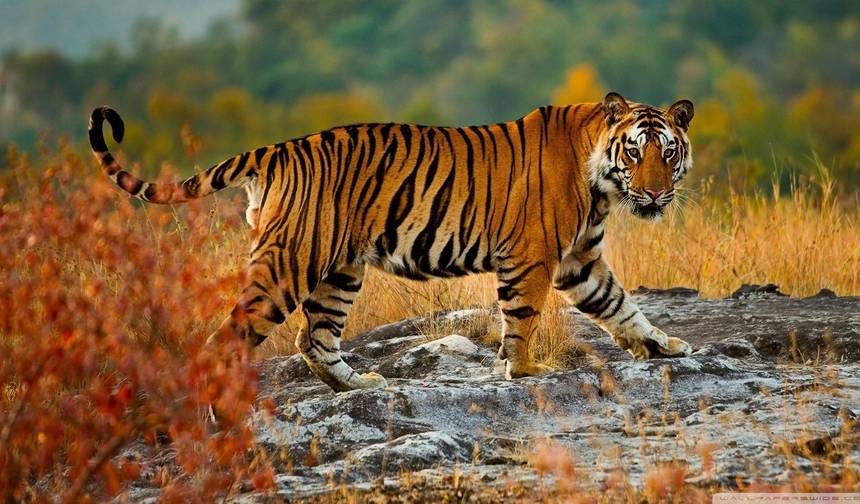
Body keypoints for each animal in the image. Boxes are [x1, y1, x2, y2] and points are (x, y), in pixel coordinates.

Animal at [88, 92, 695, 392]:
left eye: (668, 153)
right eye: (635, 152)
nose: (655, 194)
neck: (602, 184)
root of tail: (277, 149)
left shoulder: (580, 260)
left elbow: (621, 305)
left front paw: (662, 346)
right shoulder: (533, 257)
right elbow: (522, 320)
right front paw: (524, 372)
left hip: (338, 270)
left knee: (314, 338)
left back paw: (359, 385)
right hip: (289, 264)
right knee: (228, 338)